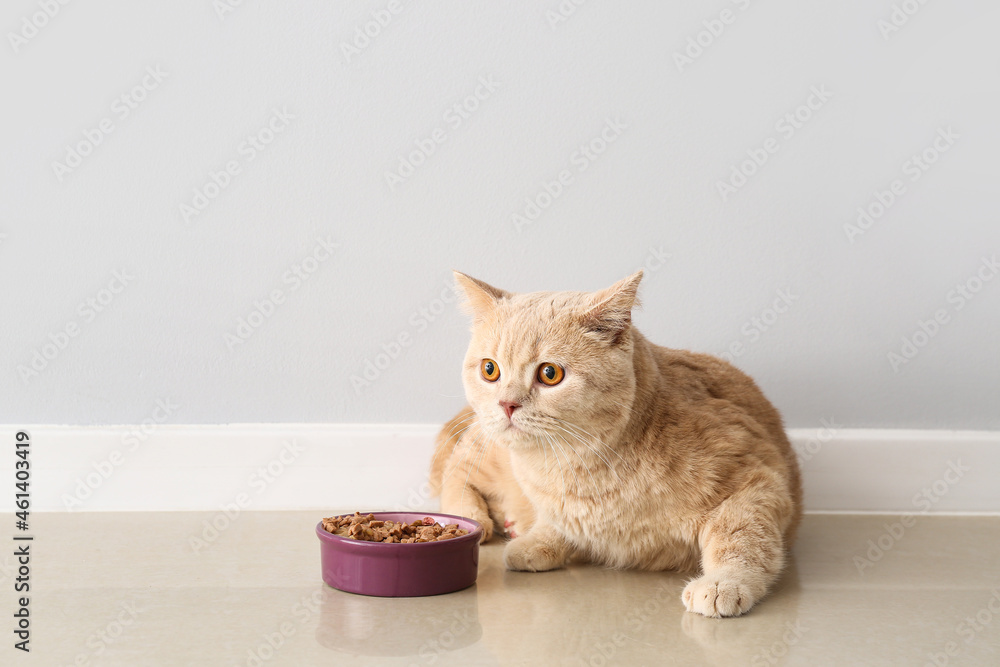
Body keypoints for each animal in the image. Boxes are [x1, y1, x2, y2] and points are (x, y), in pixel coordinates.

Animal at [426, 268, 800, 620]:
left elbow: (744, 538)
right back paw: (475, 517)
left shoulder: (756, 481)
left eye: (549, 374)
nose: (507, 404)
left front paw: (725, 582)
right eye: (490, 370)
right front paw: (538, 540)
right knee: (456, 472)